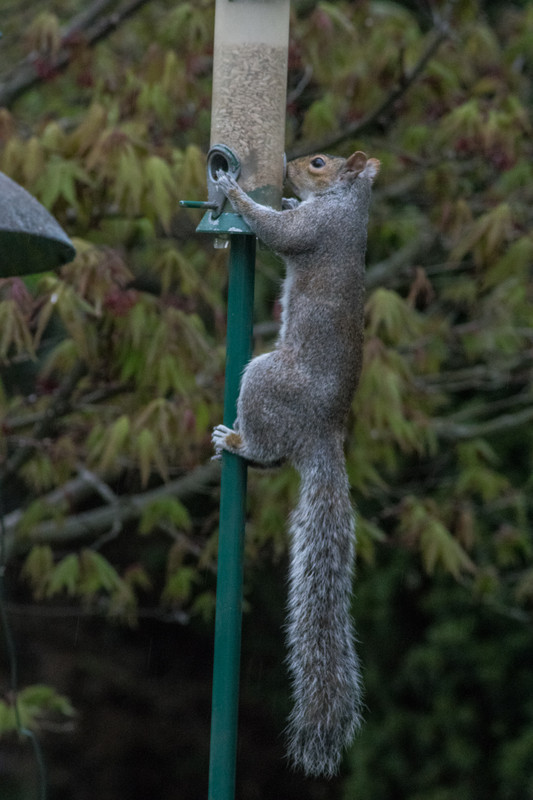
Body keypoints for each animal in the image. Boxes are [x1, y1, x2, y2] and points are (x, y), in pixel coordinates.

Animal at [212, 150, 379, 777]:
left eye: (318, 163)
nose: (285, 164)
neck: (347, 205)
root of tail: (323, 436)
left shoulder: (315, 231)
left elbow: (279, 233)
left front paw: (238, 192)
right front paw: (277, 196)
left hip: (264, 379)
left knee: (265, 449)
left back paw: (238, 442)